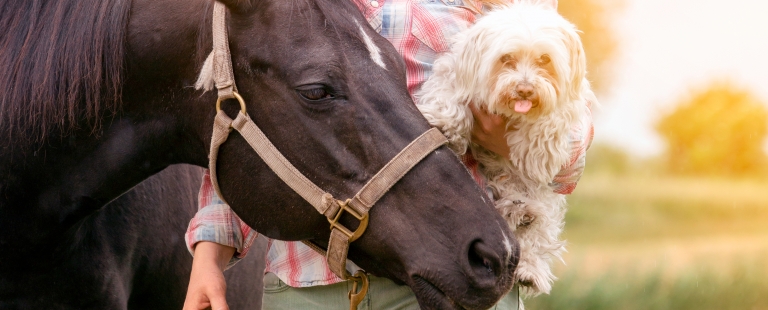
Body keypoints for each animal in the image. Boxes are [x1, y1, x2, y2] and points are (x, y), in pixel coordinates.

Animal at [416, 0, 596, 296]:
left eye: (545, 60)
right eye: (506, 58)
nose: (525, 90)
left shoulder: (569, 106)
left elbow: (552, 120)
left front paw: (537, 151)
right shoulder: (455, 72)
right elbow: (450, 95)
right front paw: (445, 123)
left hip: (545, 203)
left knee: (537, 233)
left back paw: (529, 260)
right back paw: (516, 211)